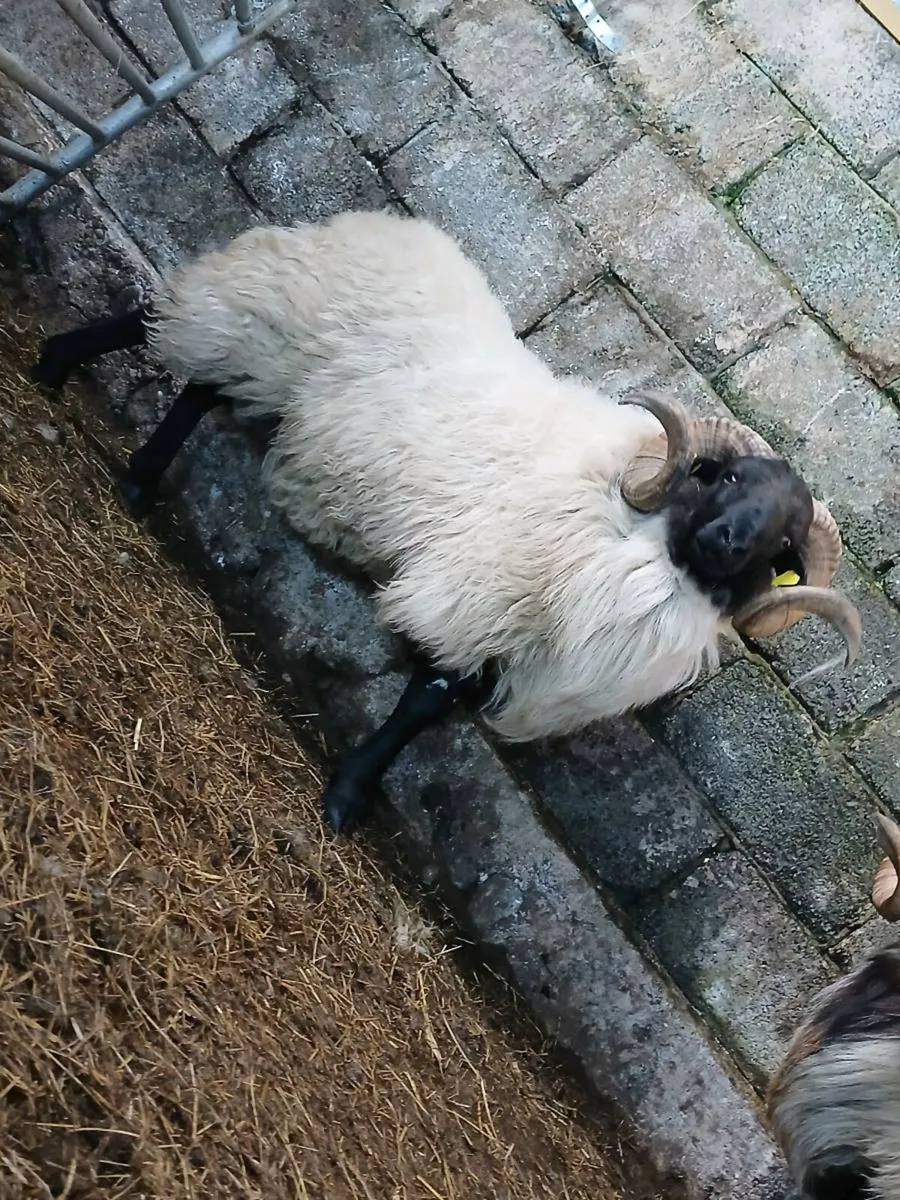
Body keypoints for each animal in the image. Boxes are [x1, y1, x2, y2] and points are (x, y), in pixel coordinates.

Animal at [30, 209, 862, 833]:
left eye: (783, 545)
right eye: (721, 477)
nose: (726, 538)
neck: (632, 537)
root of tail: (384, 226)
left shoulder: (516, 639)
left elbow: (440, 708)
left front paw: (355, 786)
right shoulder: (478, 596)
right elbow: (424, 700)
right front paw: (349, 793)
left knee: (201, 389)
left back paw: (137, 472)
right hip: (262, 312)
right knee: (164, 329)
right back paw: (59, 365)